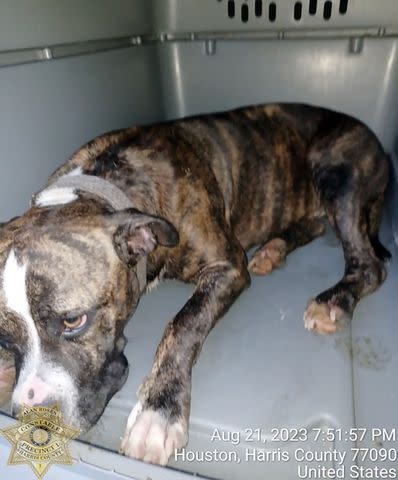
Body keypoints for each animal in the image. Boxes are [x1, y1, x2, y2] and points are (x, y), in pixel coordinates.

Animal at [0, 102, 388, 464]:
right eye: (3, 339)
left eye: (73, 321)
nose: (33, 417)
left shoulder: (227, 265)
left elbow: (183, 323)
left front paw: (158, 411)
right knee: (316, 225)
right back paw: (273, 250)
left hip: (335, 169)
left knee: (371, 265)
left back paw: (333, 301)